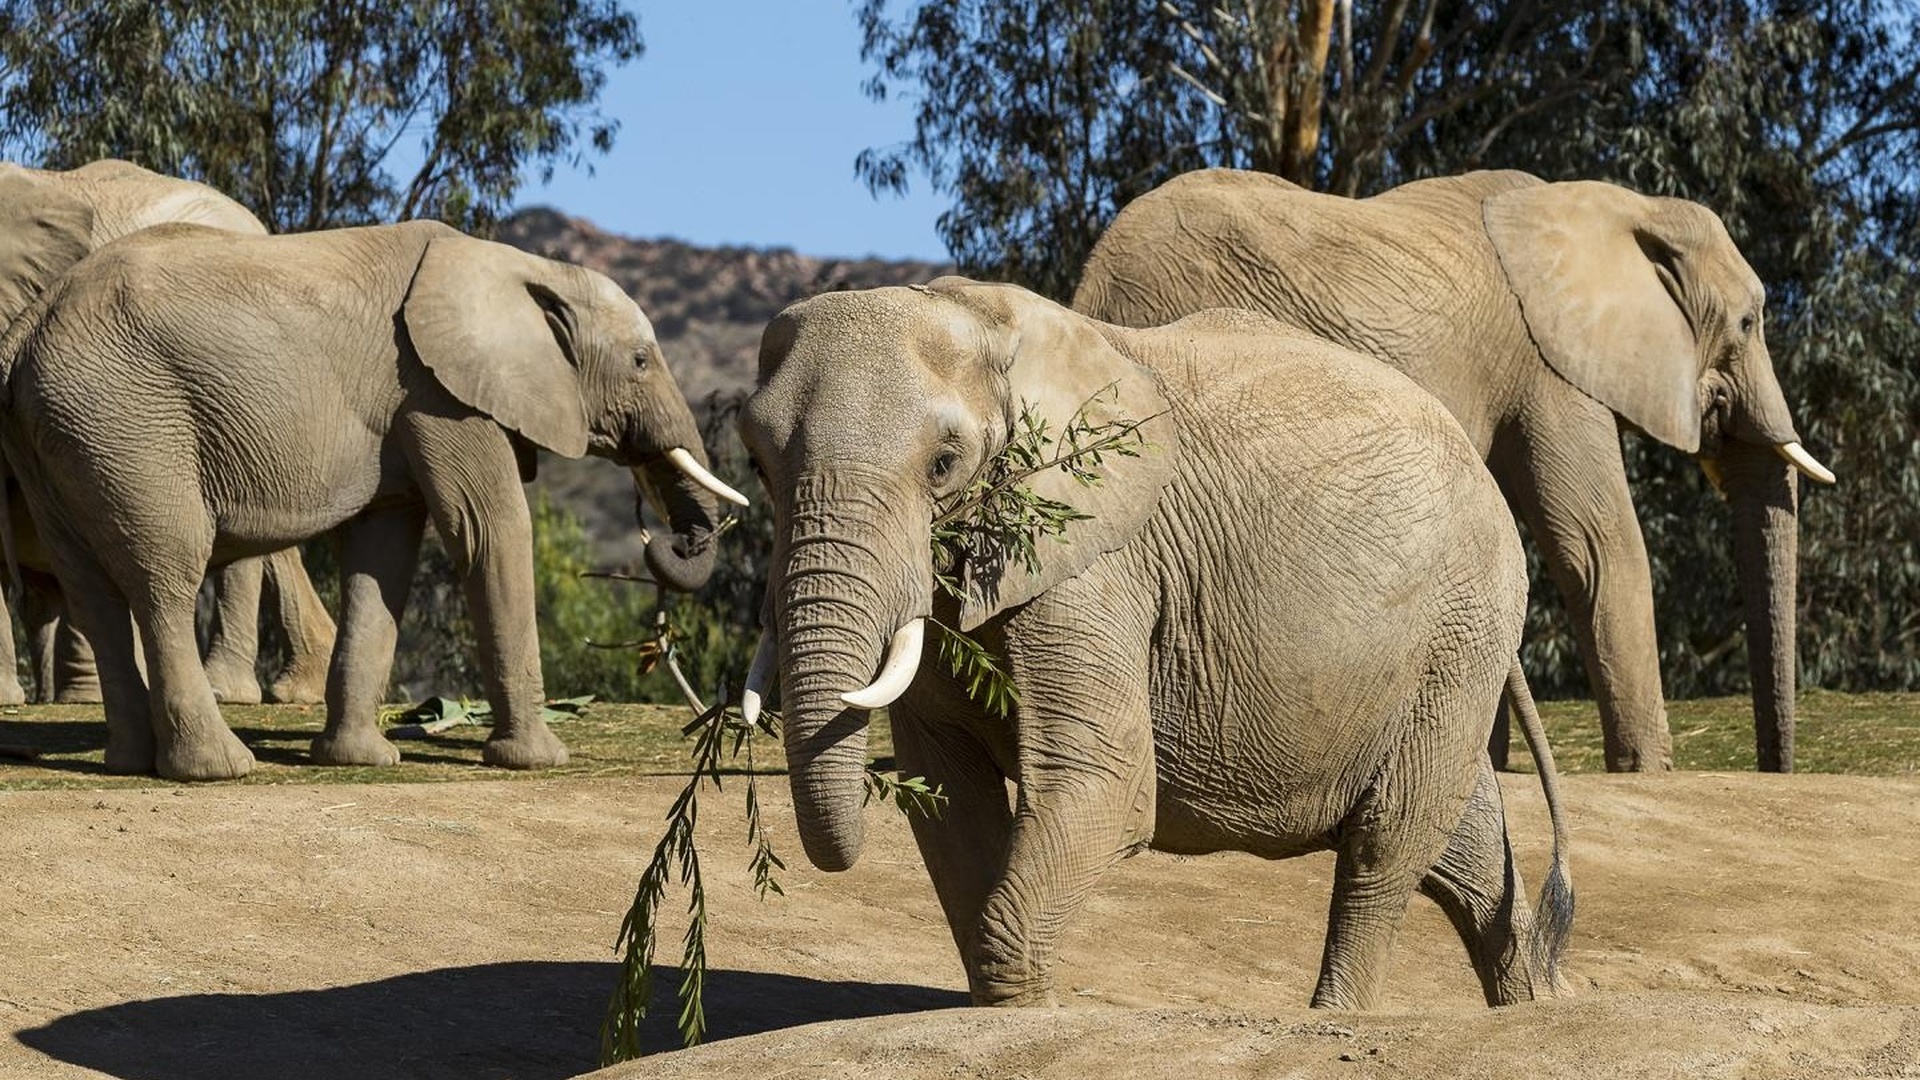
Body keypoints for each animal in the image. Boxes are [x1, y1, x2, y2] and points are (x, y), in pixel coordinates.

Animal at [0, 219, 741, 776]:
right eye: (641, 362)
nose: (663, 538)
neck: (521, 266)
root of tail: (26, 333)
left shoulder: (411, 409)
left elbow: (384, 551)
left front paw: (359, 760)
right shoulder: (440, 393)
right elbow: (489, 529)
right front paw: (538, 762)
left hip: (64, 438)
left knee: (92, 590)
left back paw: (129, 763)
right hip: (128, 426)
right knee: (165, 577)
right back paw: (220, 768)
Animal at [737, 276, 1574, 1006]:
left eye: (944, 464)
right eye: (757, 463)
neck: (979, 316)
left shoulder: (1097, 561)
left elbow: (1103, 778)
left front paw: (1026, 1007)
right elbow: (946, 791)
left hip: (1461, 624)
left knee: (1385, 846)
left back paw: (1335, 1017)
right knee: (1461, 851)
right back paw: (1534, 1004)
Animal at [1075, 168, 1835, 768]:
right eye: (1747, 323)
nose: (1774, 768)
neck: (1623, 204)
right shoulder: (1548, 366)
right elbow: (1599, 545)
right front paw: (1647, 773)